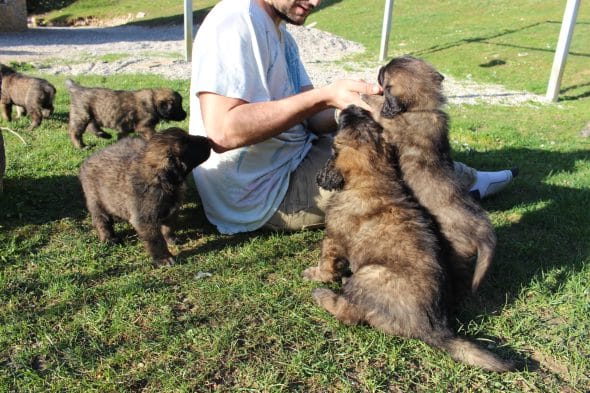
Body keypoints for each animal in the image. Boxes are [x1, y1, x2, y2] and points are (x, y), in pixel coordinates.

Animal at [80, 127, 212, 264]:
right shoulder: (145, 219)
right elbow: (155, 240)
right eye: (187, 144)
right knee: (101, 220)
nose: (209, 140)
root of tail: (87, 161)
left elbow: (168, 227)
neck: (161, 182)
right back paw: (108, 238)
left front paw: (170, 239)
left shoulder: (171, 210)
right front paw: (163, 258)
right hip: (95, 200)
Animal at [302, 105, 516, 372]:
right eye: (366, 120)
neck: (372, 176)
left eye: (344, 125)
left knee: (348, 314)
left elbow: (326, 264)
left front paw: (314, 274)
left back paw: (324, 294)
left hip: (371, 273)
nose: (352, 107)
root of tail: (431, 325)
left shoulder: (333, 239)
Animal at [364, 56, 498, 294]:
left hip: (457, 251)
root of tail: (484, 231)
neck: (424, 108)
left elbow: (379, 107)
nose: (380, 66)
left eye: (384, 75)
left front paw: (366, 95)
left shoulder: (393, 124)